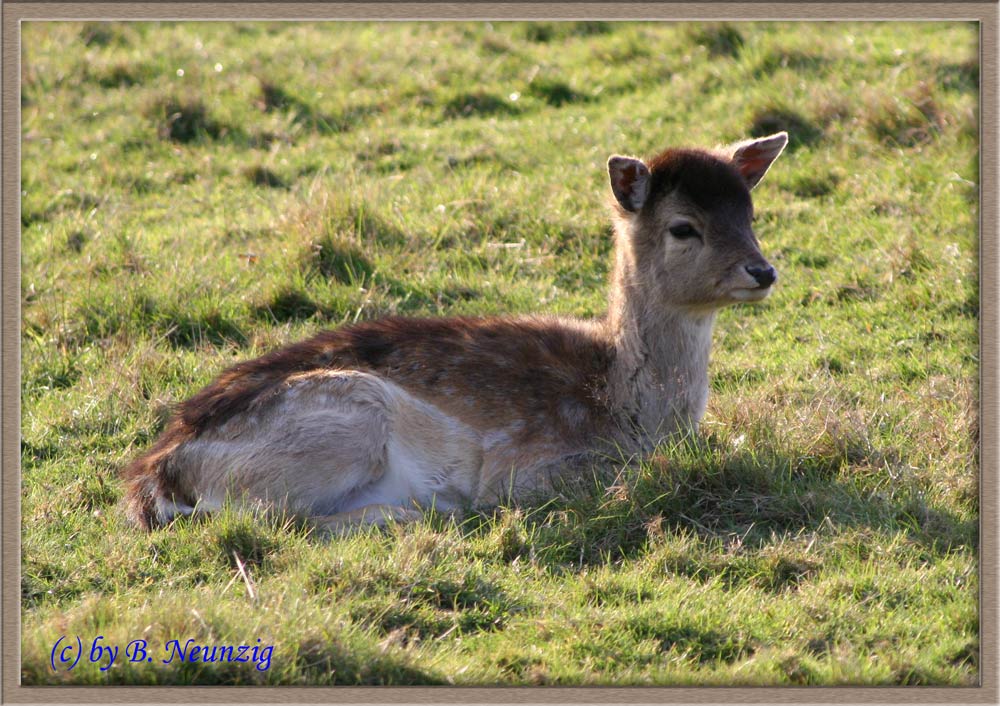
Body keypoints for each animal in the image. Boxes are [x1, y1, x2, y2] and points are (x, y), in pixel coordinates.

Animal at [119, 131, 788, 532]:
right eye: (683, 226)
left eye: (750, 212)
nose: (763, 271)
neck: (628, 406)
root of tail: (157, 476)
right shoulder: (527, 467)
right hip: (349, 412)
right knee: (268, 518)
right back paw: (419, 512)